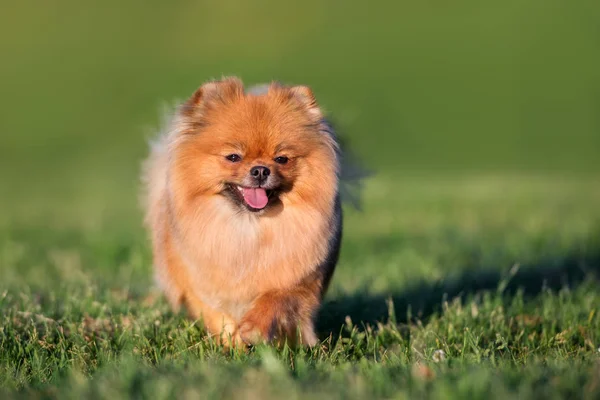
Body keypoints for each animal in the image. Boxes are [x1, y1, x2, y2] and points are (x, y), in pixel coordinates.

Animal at [141, 77, 344, 346]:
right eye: (233, 157)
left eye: (281, 159)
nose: (260, 170)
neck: (249, 229)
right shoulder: (199, 286)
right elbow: (217, 315)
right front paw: (233, 343)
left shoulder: (299, 282)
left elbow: (274, 299)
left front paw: (255, 328)